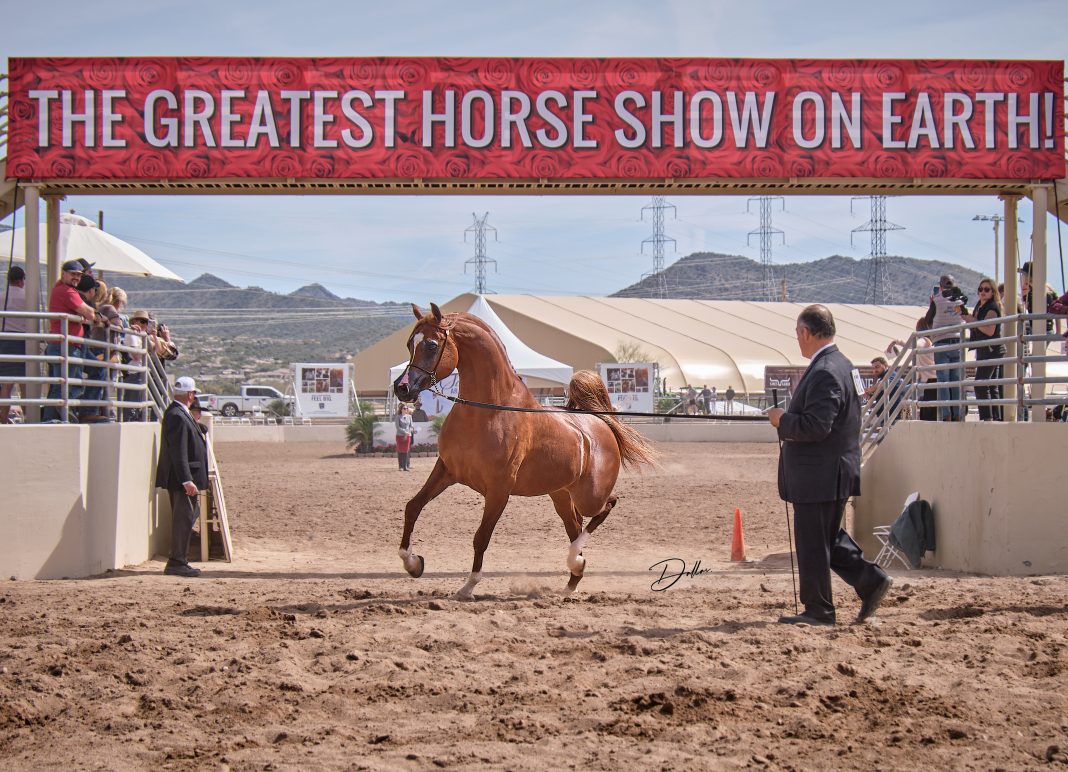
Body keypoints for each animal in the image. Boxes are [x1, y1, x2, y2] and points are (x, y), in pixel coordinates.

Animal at [395, 301, 657, 597]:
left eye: (430, 345)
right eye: (409, 343)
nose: (402, 388)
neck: (487, 413)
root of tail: (599, 422)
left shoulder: (499, 489)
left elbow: (481, 537)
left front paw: (468, 586)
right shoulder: (446, 471)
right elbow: (413, 507)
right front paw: (413, 564)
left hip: (589, 496)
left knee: (606, 507)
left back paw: (576, 560)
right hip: (560, 495)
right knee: (575, 526)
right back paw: (572, 580)